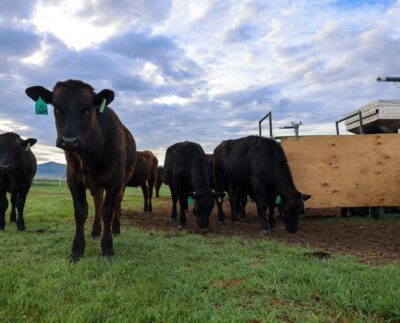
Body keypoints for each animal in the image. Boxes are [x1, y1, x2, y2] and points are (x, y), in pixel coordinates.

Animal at [26, 79, 137, 262]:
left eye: (87, 109)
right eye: (56, 108)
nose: (69, 140)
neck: (90, 155)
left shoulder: (116, 179)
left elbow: (108, 210)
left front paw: (107, 248)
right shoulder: (73, 178)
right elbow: (80, 212)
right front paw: (77, 250)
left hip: (122, 182)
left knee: (116, 204)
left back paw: (115, 229)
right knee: (98, 202)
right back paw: (95, 230)